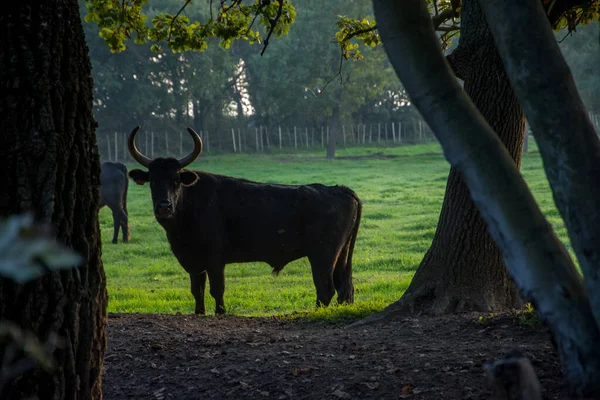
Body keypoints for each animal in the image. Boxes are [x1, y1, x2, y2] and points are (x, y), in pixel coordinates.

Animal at [126, 126, 360, 314]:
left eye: (176, 180)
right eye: (152, 181)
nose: (164, 207)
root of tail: (340, 189)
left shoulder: (215, 260)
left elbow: (217, 290)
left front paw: (220, 313)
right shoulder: (194, 263)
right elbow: (197, 291)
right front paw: (199, 313)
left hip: (322, 255)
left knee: (325, 288)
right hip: (340, 255)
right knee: (344, 288)